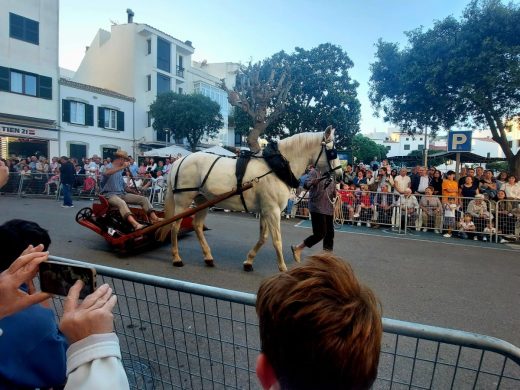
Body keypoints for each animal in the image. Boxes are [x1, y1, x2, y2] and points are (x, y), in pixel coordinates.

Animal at [160, 127, 344, 272]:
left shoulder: (265, 210)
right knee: (175, 226)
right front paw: (283, 269)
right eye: (332, 151)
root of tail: (180, 161)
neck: (276, 167)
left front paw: (248, 262)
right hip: (183, 200)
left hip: (202, 201)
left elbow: (263, 237)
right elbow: (277, 240)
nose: (341, 174)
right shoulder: (272, 210)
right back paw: (177, 258)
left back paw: (208, 257)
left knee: (197, 226)